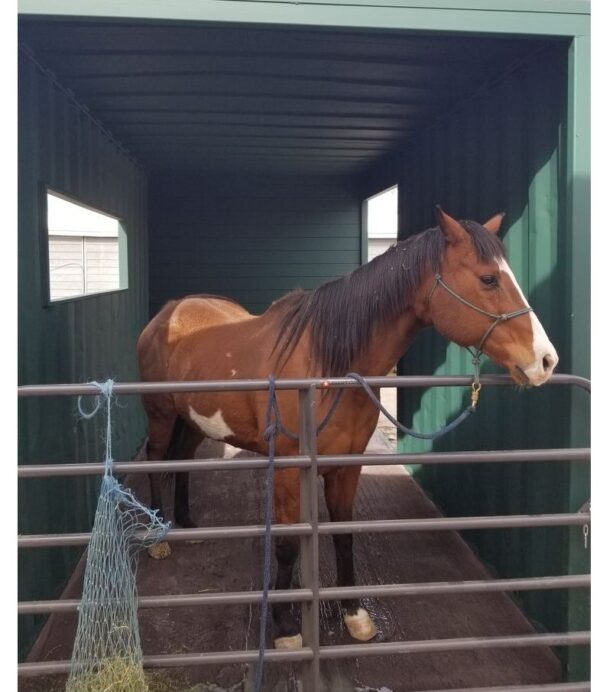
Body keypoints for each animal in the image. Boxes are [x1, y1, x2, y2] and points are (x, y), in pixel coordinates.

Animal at [137, 207, 558, 649]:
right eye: (488, 279)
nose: (546, 361)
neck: (328, 368)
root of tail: (170, 311)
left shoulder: (347, 467)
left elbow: (344, 534)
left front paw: (354, 613)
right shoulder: (288, 470)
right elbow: (287, 544)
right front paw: (285, 627)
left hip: (193, 419)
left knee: (183, 458)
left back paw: (186, 523)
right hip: (161, 415)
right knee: (156, 457)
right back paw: (158, 538)